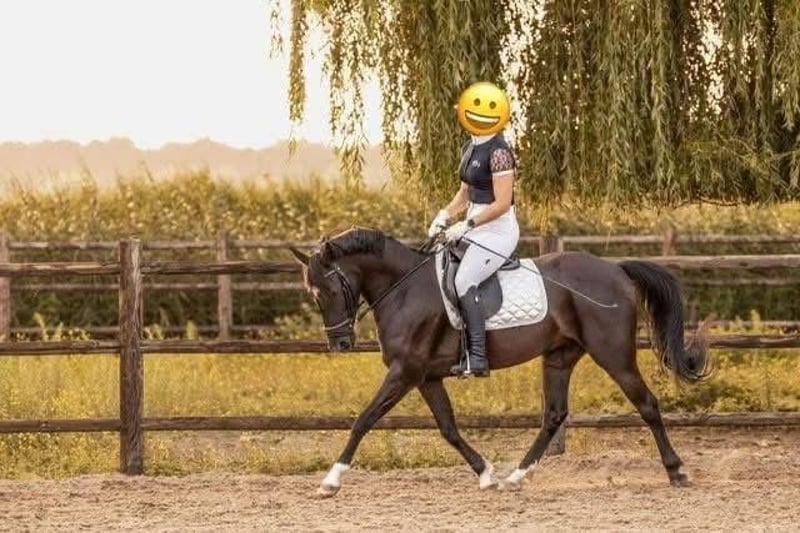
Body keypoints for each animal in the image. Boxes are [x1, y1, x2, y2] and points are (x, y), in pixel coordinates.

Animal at [288, 227, 710, 496]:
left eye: (328, 289)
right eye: (312, 292)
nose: (340, 343)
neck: (404, 290)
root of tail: (616, 268)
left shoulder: (404, 372)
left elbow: (364, 419)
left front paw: (330, 481)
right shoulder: (425, 377)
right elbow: (448, 429)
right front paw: (487, 475)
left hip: (613, 354)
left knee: (647, 404)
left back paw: (677, 472)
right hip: (559, 357)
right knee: (554, 415)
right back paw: (515, 478)